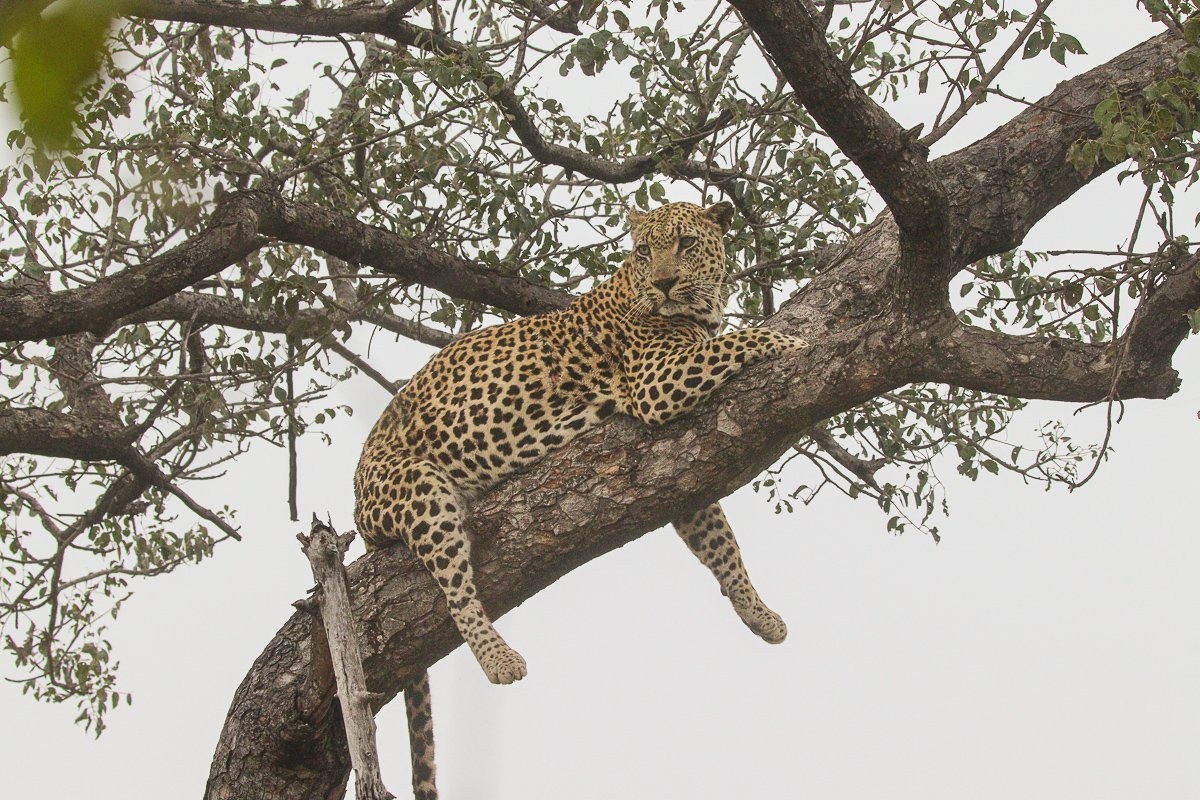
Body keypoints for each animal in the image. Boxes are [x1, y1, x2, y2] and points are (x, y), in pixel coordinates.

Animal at [354, 200, 807, 799]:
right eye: (645, 251)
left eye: (685, 245)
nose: (664, 282)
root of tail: (357, 500)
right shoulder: (657, 381)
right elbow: (738, 340)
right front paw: (792, 342)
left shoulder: (684, 476)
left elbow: (723, 546)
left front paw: (758, 614)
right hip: (419, 487)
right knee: (455, 590)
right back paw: (499, 659)